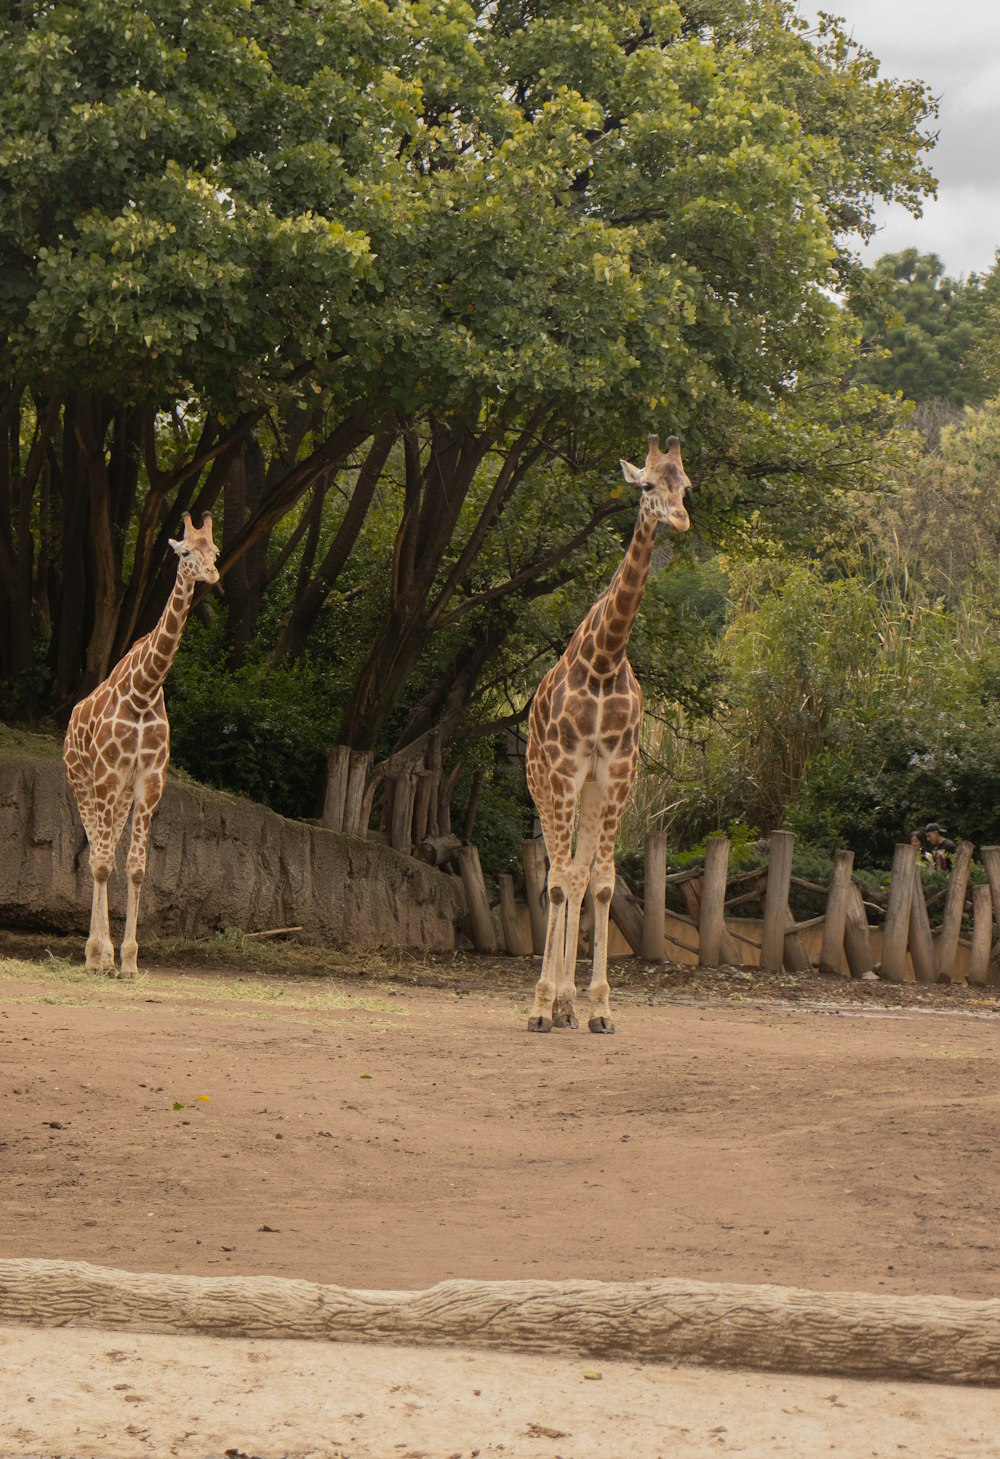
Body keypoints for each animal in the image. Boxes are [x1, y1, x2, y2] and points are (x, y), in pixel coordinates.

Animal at [64, 513, 220, 980]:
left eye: (215, 550)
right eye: (185, 552)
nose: (212, 573)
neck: (144, 690)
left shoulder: (148, 784)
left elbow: (134, 868)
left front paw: (129, 961)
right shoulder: (106, 778)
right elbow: (100, 863)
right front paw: (101, 955)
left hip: (116, 798)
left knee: (107, 851)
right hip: (83, 785)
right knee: (95, 855)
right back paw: (94, 956)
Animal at [519, 437, 689, 1032]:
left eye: (686, 486)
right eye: (647, 485)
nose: (679, 519)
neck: (603, 659)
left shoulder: (615, 775)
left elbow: (601, 883)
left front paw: (599, 1009)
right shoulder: (565, 770)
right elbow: (557, 882)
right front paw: (542, 1006)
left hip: (590, 792)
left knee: (576, 872)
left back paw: (569, 1006)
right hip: (543, 784)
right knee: (556, 872)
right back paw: (548, 1005)